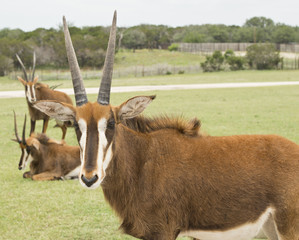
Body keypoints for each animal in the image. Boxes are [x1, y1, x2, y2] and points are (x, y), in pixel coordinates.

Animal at [33, 12, 299, 240]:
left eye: (111, 123)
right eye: (75, 125)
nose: (89, 177)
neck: (142, 160)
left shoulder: (163, 231)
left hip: (288, 227)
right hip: (271, 228)